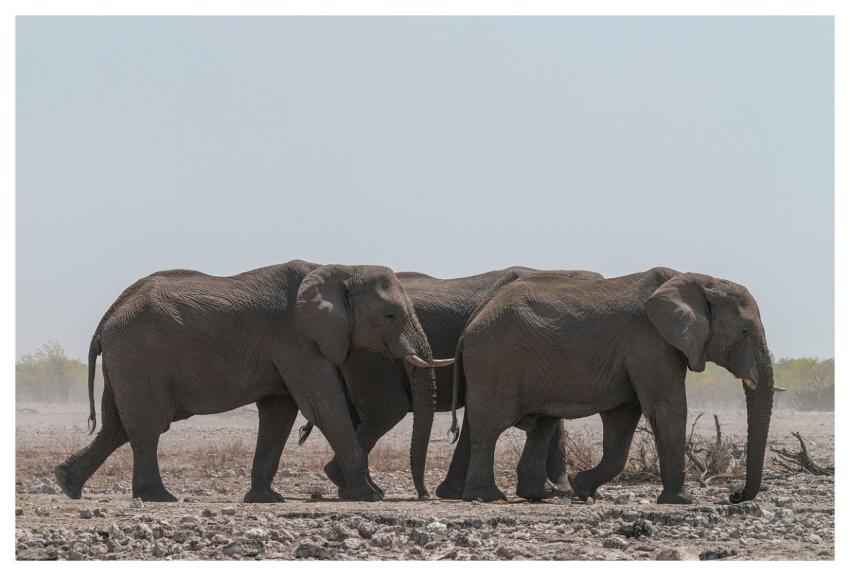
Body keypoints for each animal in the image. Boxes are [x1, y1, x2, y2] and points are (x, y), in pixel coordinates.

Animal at [54, 260, 450, 503]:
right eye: (390, 316)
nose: (424, 495)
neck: (342, 268)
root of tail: (108, 317)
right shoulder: (296, 338)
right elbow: (324, 405)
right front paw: (368, 495)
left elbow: (280, 412)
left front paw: (266, 499)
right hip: (139, 357)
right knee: (148, 426)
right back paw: (158, 497)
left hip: (127, 361)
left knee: (116, 427)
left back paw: (67, 483)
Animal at [449, 267, 775, 505]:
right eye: (745, 332)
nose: (734, 496)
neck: (698, 280)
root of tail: (468, 328)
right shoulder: (650, 342)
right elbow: (666, 409)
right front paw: (681, 501)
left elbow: (623, 418)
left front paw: (583, 489)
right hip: (495, 360)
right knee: (491, 426)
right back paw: (487, 496)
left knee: (540, 424)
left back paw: (538, 495)